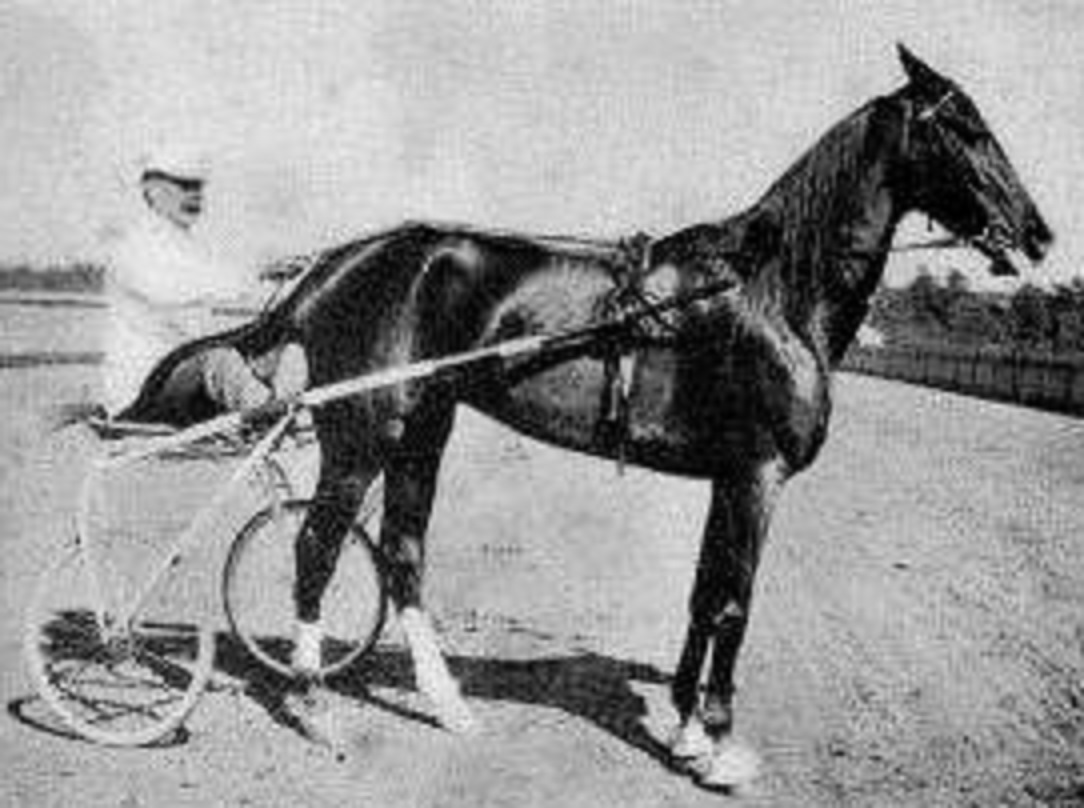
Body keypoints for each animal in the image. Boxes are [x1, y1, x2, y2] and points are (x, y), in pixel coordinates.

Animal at [119, 46, 1051, 788]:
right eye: (966, 126)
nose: (1037, 233)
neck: (767, 292)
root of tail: (333, 264)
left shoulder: (728, 478)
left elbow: (703, 596)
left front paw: (681, 726)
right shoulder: (758, 475)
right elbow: (735, 603)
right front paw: (717, 745)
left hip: (424, 428)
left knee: (404, 554)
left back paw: (448, 704)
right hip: (362, 432)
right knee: (316, 546)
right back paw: (312, 701)